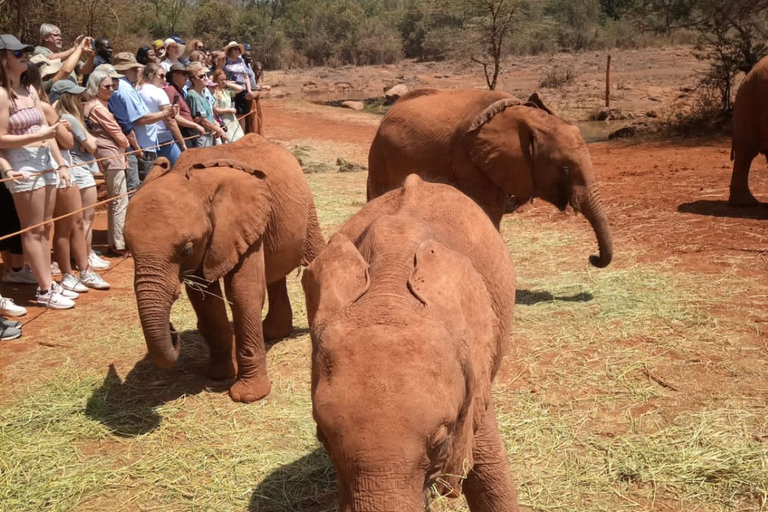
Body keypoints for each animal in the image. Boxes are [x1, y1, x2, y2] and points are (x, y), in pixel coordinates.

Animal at [125, 133, 328, 404]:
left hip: (307, 209)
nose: (173, 332)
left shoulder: (244, 223)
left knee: (315, 258)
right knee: (274, 276)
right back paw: (273, 333)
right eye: (128, 248)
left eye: (186, 249)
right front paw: (218, 375)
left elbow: (242, 292)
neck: (194, 182)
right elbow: (204, 299)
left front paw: (248, 396)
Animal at [368, 87, 616, 268]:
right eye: (564, 169)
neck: (524, 117)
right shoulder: (469, 159)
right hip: (379, 155)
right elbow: (488, 211)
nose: (592, 258)